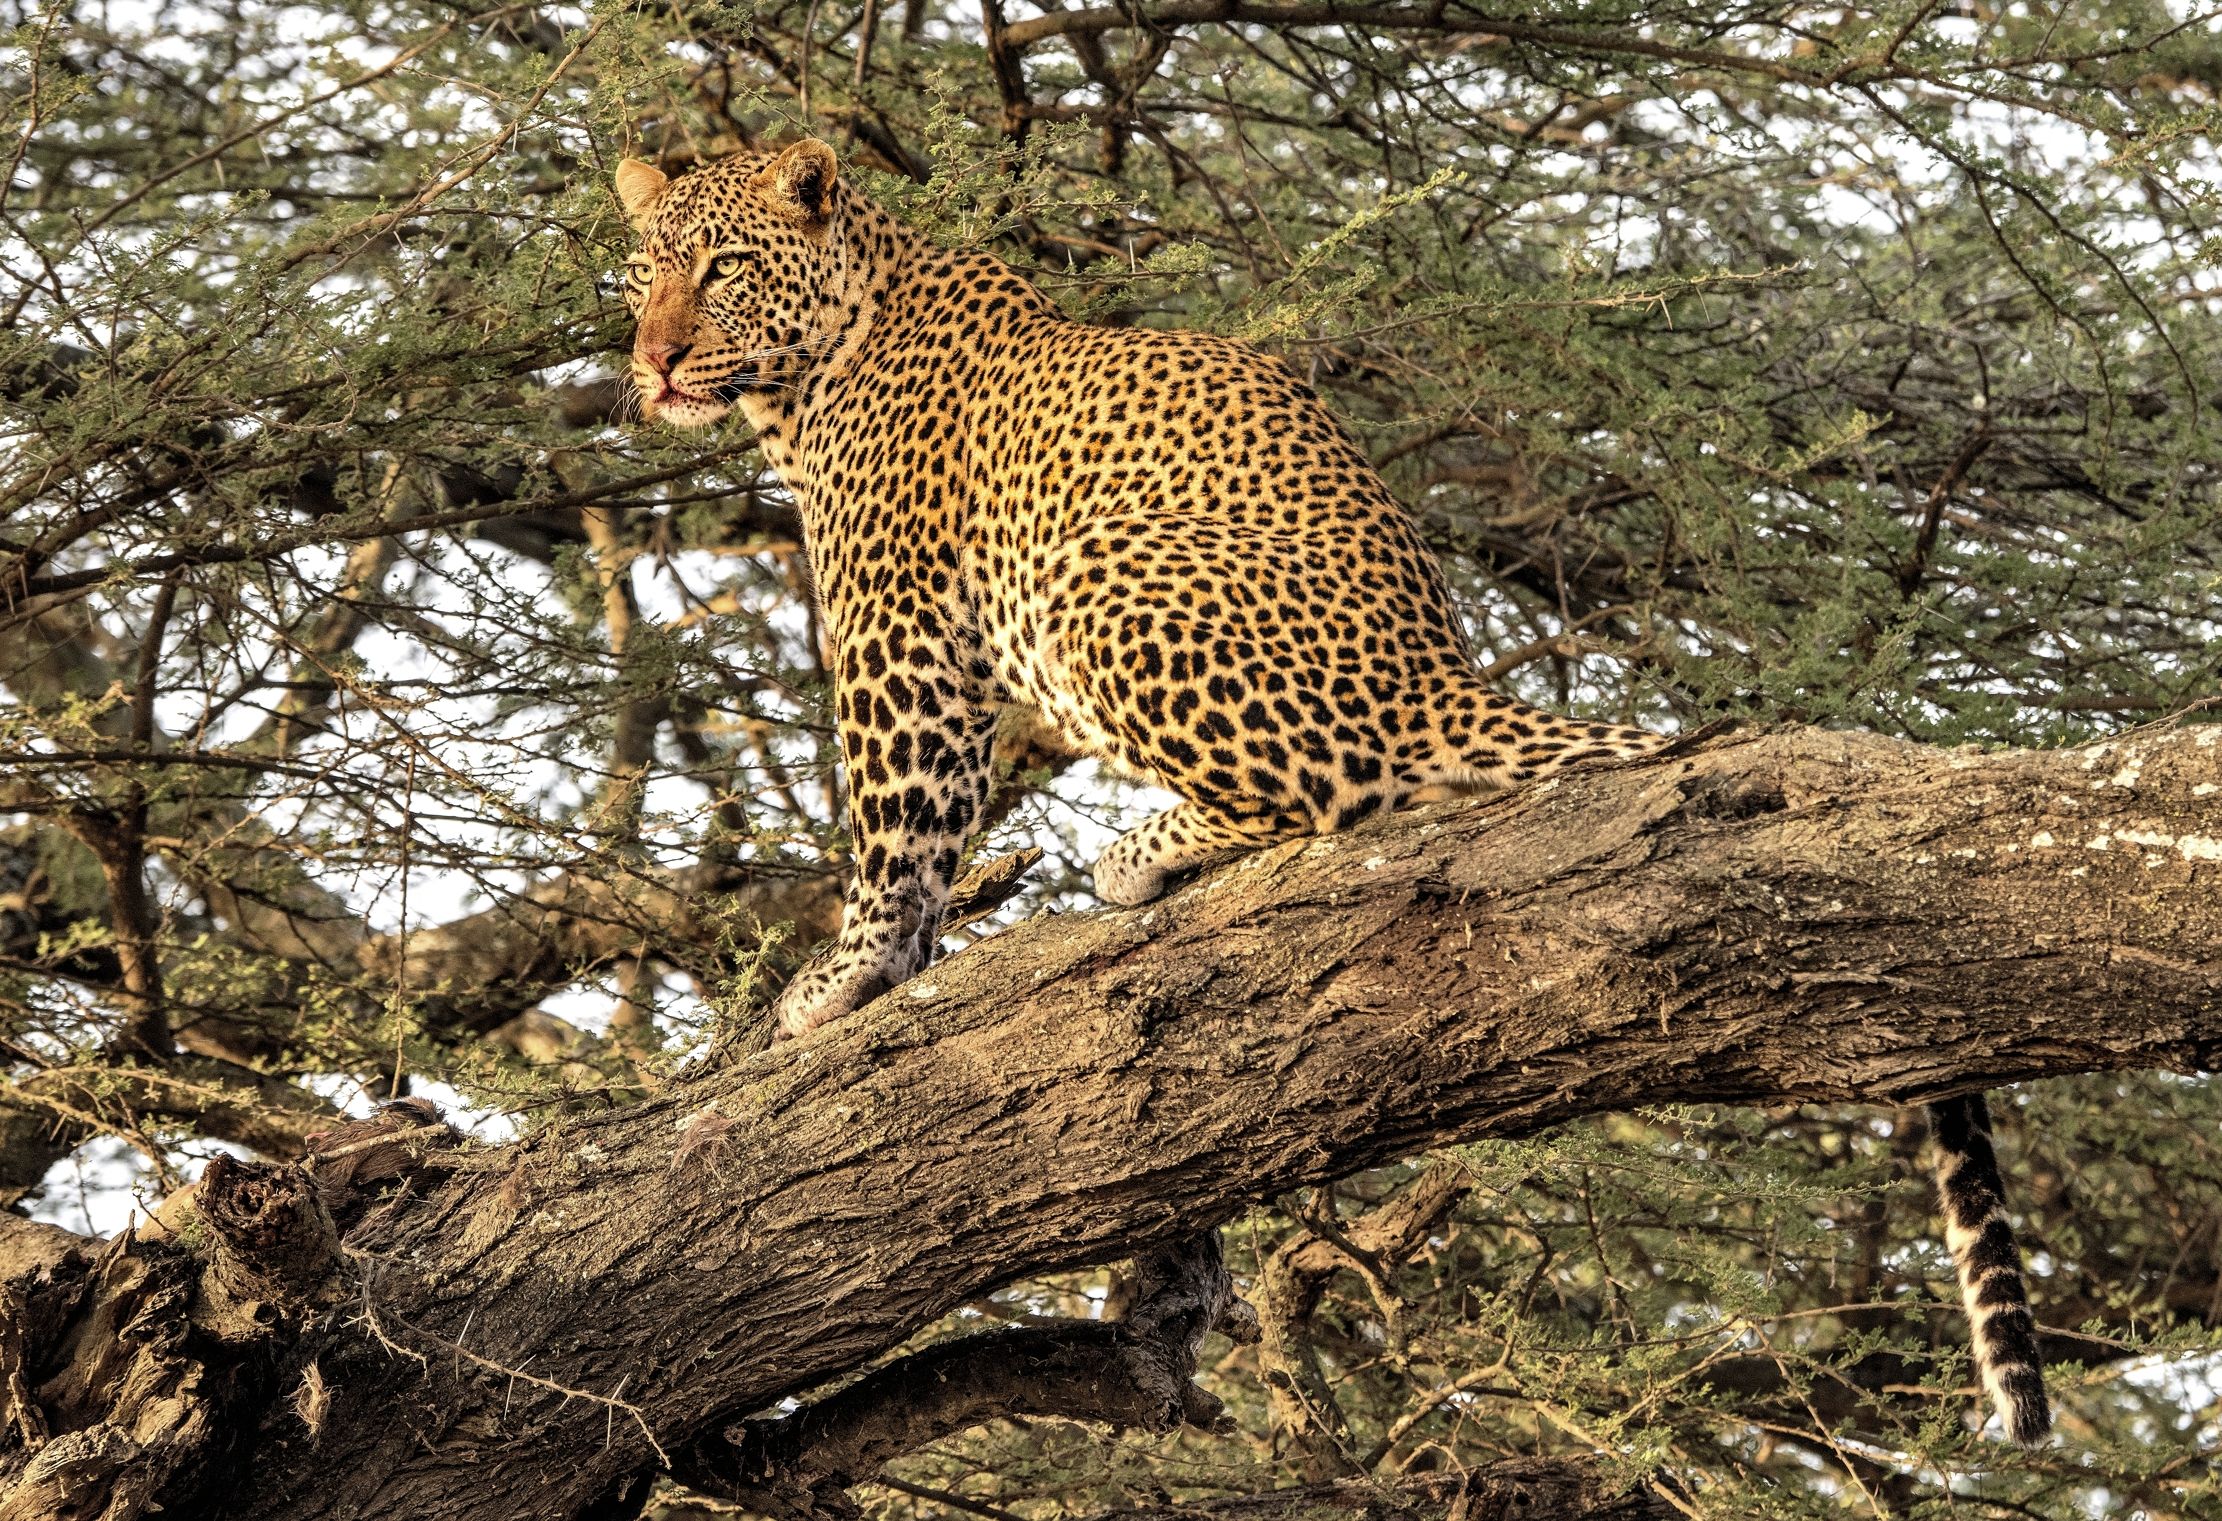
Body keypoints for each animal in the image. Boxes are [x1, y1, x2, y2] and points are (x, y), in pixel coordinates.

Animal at [612, 140, 2048, 1446]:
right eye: (640, 275)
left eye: (723, 268)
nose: (656, 361)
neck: (817, 367)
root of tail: (1441, 675)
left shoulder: (899, 633)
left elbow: (899, 814)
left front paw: (849, 974)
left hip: (1094, 569)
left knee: (1323, 794)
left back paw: (1141, 853)